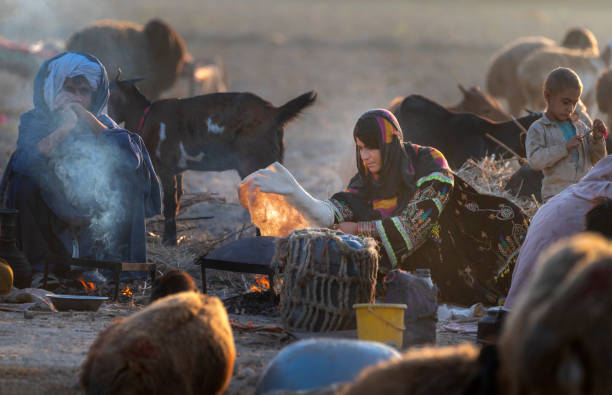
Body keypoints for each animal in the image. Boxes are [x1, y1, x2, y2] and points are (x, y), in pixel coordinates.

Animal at [109, 77, 316, 244]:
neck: (146, 117)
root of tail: (275, 113)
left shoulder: (165, 168)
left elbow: (168, 205)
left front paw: (169, 241)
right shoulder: (178, 171)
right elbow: (177, 200)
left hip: (255, 163)